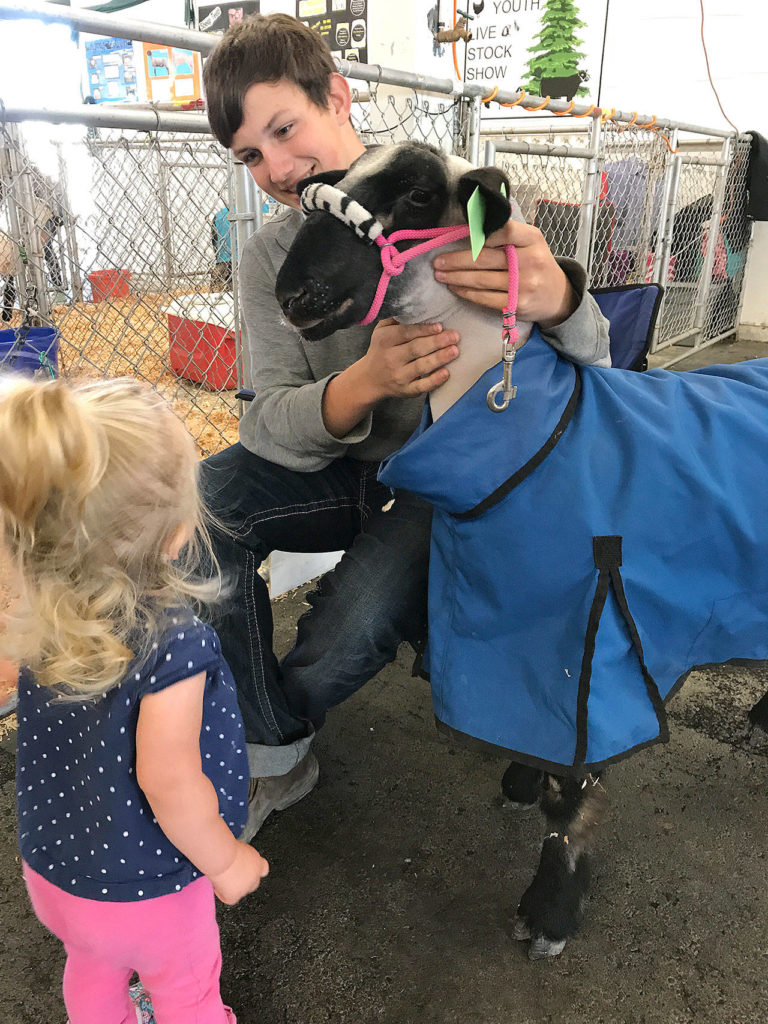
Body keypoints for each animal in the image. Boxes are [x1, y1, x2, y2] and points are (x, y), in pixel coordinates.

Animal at [274, 140, 768, 954]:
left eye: (416, 193)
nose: (293, 294)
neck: (538, 433)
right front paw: (520, 782)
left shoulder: (595, 650)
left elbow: (572, 799)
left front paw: (550, 911)